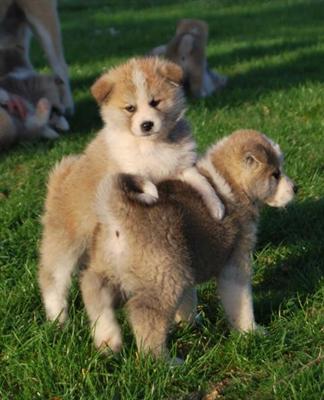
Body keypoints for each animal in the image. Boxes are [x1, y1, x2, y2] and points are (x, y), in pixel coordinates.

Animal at [38, 56, 225, 324]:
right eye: (130, 108)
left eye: (155, 102)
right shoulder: (124, 171)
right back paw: (58, 319)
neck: (150, 145)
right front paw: (151, 193)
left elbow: (201, 181)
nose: (147, 124)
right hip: (67, 243)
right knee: (53, 279)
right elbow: (143, 181)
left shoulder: (180, 167)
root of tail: (58, 184)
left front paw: (216, 205)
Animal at [80, 130, 296, 358]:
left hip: (109, 268)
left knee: (92, 288)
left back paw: (108, 340)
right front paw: (251, 331)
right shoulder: (236, 263)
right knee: (145, 315)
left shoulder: (188, 261)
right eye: (275, 174)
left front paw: (190, 323)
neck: (231, 182)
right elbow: (242, 303)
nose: (296, 188)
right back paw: (163, 360)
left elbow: (188, 300)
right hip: (167, 277)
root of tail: (119, 208)